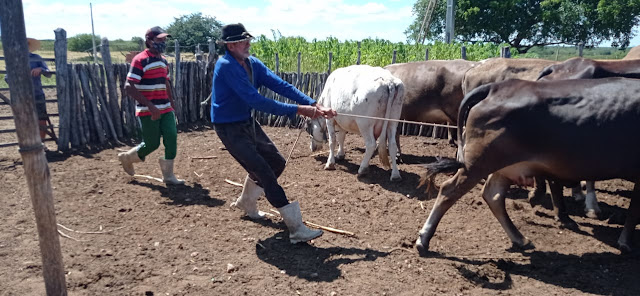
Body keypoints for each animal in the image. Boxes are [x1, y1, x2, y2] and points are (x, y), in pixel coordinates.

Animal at [416, 77, 640, 256]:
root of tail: (496, 87)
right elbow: (634, 211)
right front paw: (626, 244)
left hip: (503, 165)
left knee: (493, 195)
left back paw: (520, 239)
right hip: (478, 163)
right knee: (449, 190)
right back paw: (423, 239)